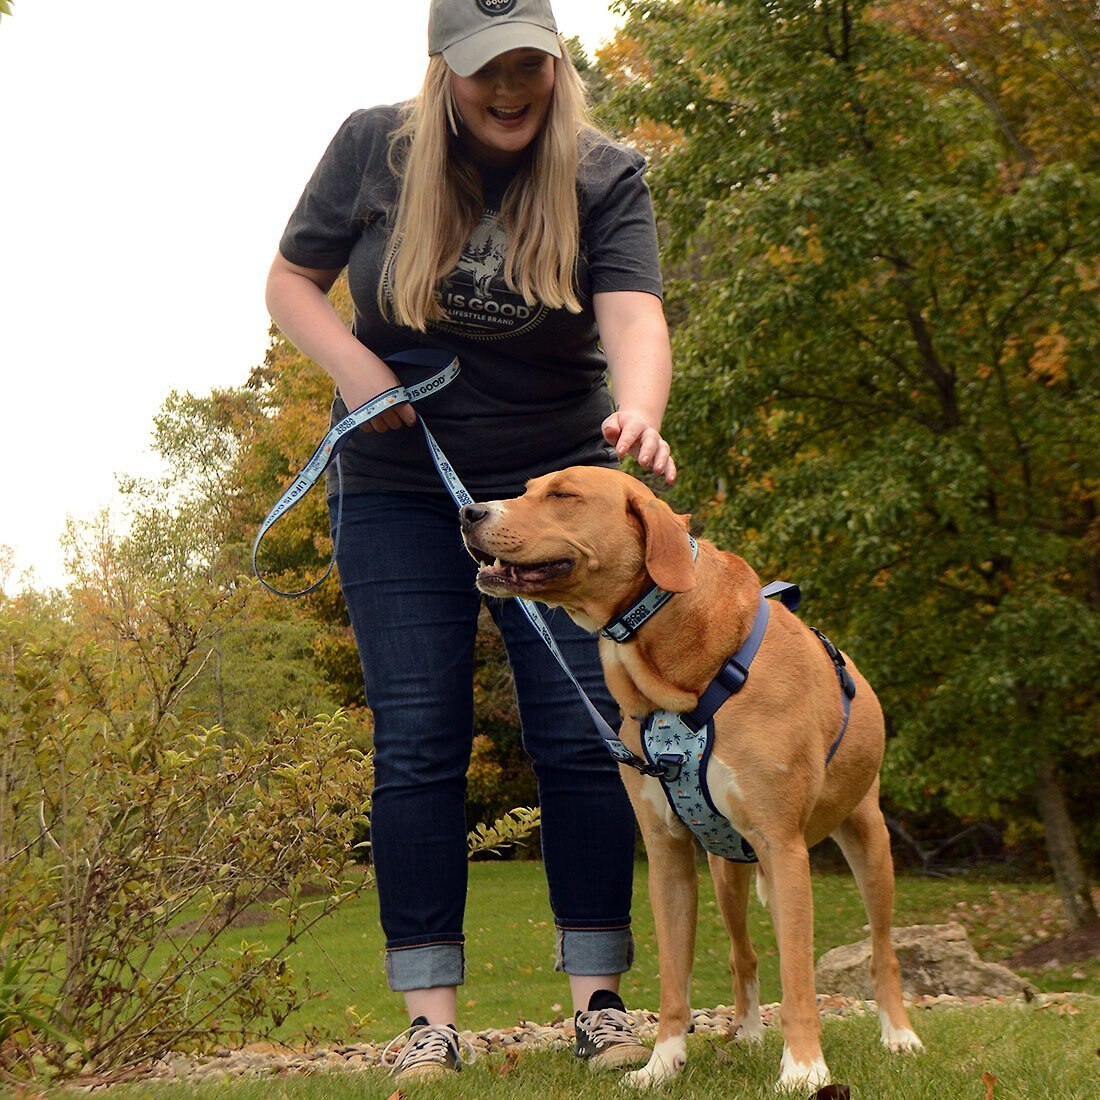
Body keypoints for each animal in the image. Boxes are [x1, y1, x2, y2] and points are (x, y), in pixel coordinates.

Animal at [459, 464, 924, 1091]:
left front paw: (804, 1069)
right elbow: (674, 981)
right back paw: (747, 1032)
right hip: (728, 869)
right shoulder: (668, 855)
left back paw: (899, 1036)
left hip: (867, 840)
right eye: (528, 489)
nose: (470, 512)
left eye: (563, 494)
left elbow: (800, 980)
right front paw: (662, 1063)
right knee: (742, 953)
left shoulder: (784, 846)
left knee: (881, 951)